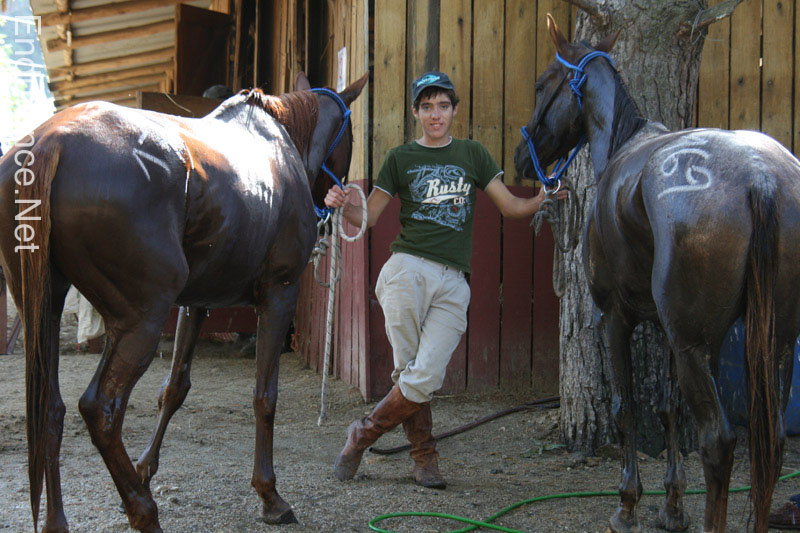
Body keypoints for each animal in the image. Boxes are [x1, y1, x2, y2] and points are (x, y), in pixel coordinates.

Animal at [0, 71, 368, 532]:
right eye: (350, 137)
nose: (336, 208)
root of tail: (52, 141)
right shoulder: (279, 295)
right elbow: (264, 396)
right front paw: (269, 495)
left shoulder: (196, 303)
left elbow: (174, 388)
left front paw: (143, 469)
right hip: (139, 320)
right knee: (100, 409)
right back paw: (143, 510)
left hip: (45, 311)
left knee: (50, 409)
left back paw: (61, 520)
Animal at [516, 14, 800, 528]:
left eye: (541, 83)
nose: (520, 158)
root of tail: (759, 176)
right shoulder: (668, 332)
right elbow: (669, 411)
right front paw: (671, 505)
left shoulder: (616, 319)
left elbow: (625, 408)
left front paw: (628, 504)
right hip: (776, 343)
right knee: (770, 440)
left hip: (695, 348)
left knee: (718, 442)